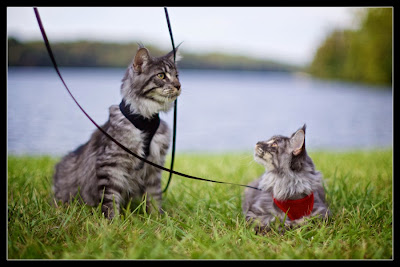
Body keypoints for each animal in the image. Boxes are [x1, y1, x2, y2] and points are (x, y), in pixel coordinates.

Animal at [52, 45, 180, 219]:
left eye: (176, 76)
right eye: (161, 75)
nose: (178, 86)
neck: (146, 120)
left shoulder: (154, 168)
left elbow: (154, 197)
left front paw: (156, 219)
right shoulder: (111, 165)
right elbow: (110, 199)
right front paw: (113, 222)